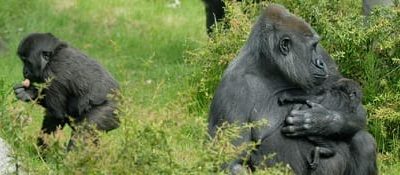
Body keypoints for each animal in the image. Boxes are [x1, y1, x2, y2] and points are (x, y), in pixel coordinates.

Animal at [209, 4, 378, 175]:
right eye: (312, 48)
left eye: (316, 46)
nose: (320, 63)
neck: (271, 69)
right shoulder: (232, 87)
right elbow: (230, 162)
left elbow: (359, 114)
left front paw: (318, 120)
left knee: (363, 142)